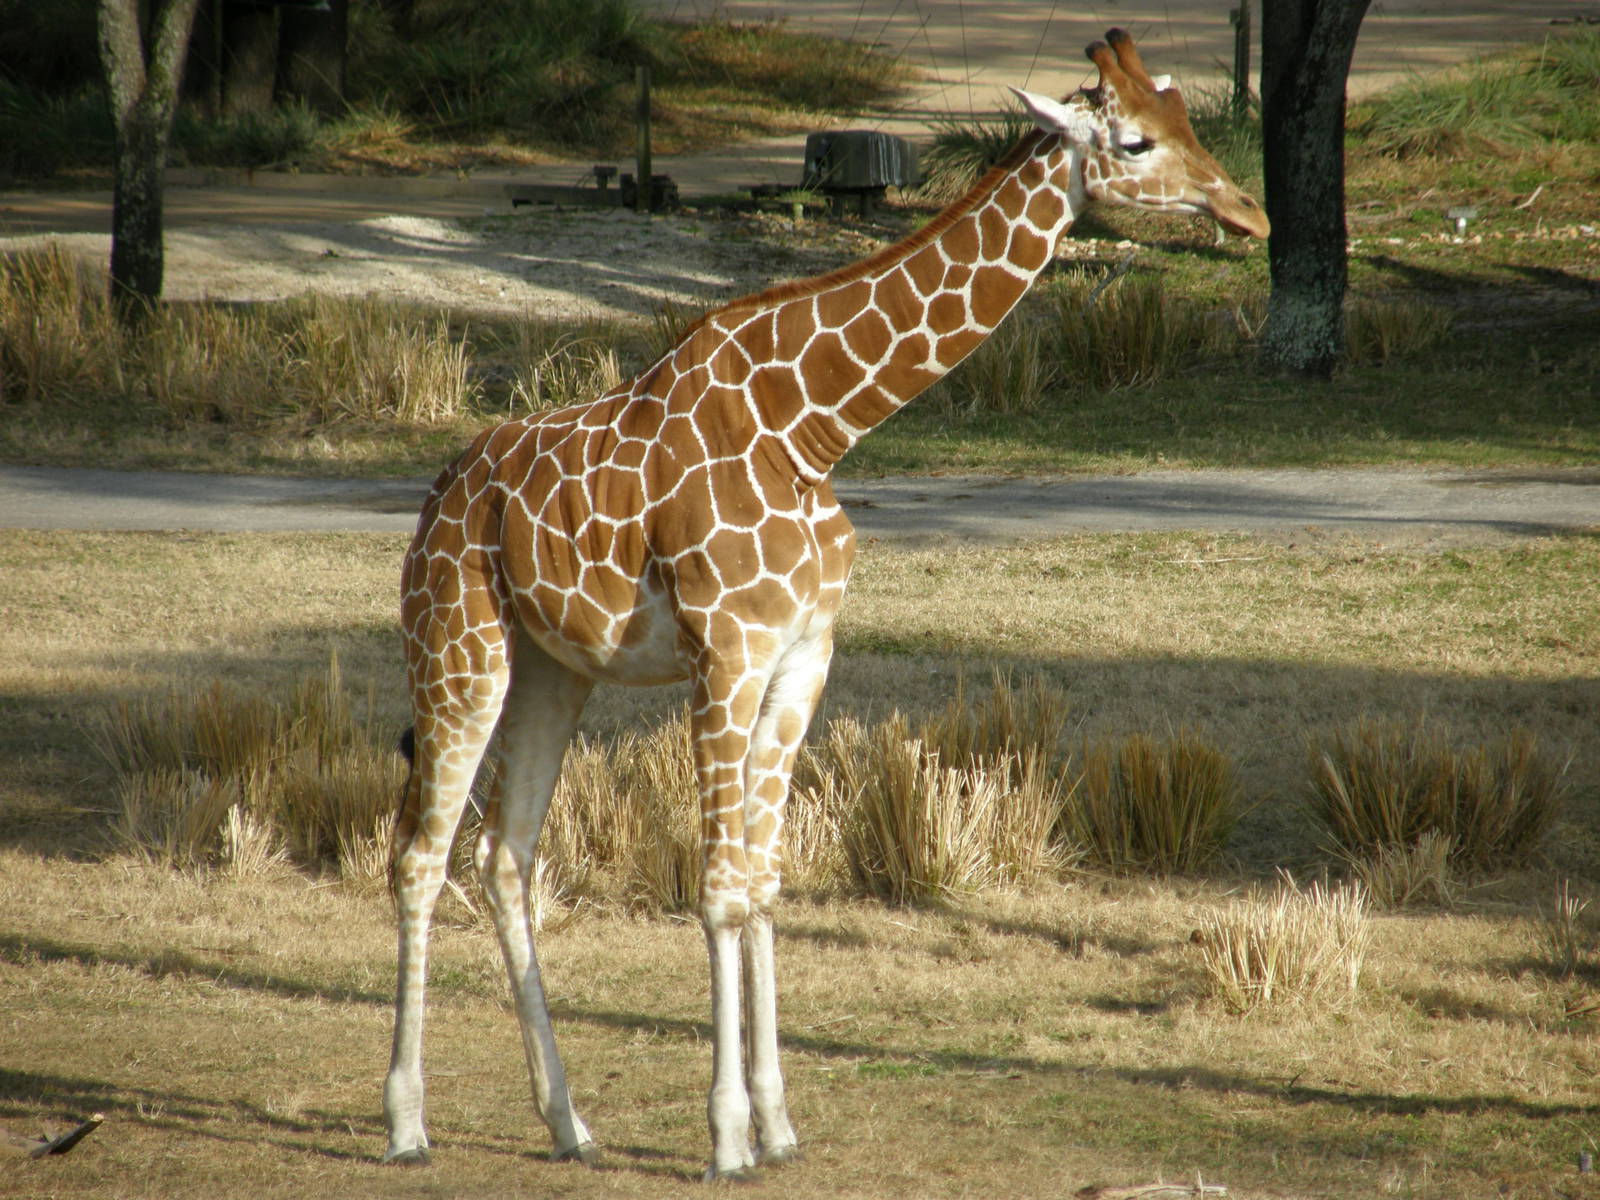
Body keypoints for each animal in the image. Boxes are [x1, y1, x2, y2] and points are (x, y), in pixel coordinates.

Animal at [383, 28, 1268, 1181]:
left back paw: (568, 1123)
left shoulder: (804, 655)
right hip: (459, 648)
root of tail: (437, 500)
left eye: (1189, 120)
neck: (814, 428)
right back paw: (406, 1124)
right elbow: (718, 885)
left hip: (552, 668)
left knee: (503, 857)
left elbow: (763, 881)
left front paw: (777, 1122)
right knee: (418, 855)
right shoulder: (728, 652)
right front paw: (726, 1136)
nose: (1249, 214)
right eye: (1134, 141)